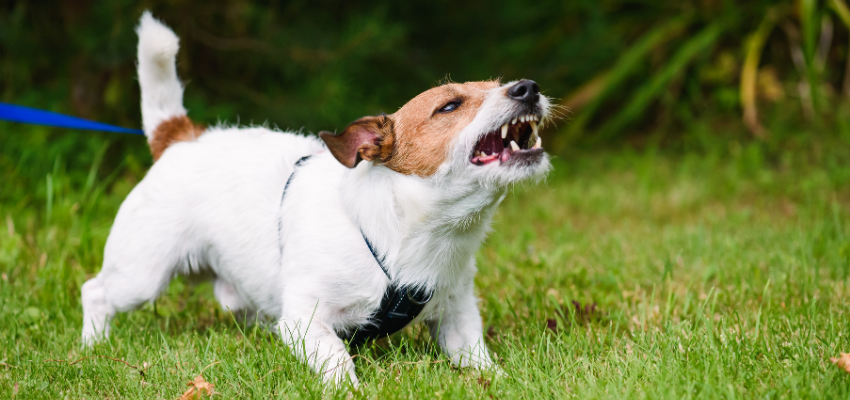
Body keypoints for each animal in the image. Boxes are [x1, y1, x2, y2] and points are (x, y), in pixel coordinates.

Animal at [81, 13, 548, 388]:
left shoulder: (457, 314)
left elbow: (475, 355)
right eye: (449, 106)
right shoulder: (304, 319)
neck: (407, 232)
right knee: (95, 291)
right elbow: (336, 357)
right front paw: (349, 388)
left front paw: (498, 380)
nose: (529, 87)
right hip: (141, 274)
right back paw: (92, 346)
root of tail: (180, 137)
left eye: (499, 84)